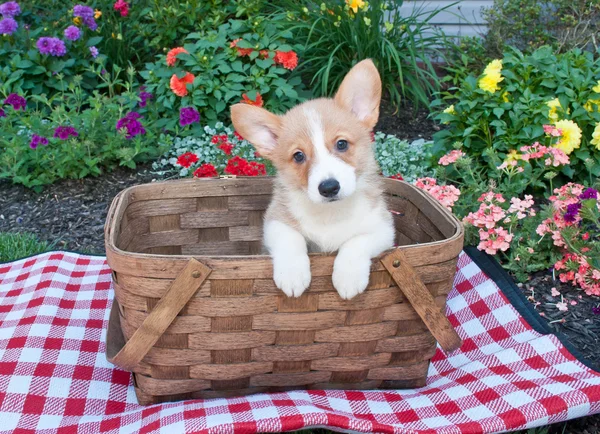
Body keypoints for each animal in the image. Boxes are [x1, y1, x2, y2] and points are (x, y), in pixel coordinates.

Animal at [230, 60, 394, 298]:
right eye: (298, 156)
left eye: (342, 144)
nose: (329, 187)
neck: (330, 213)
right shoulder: (275, 222)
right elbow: (291, 238)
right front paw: (292, 275)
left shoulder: (383, 229)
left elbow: (356, 242)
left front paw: (348, 278)